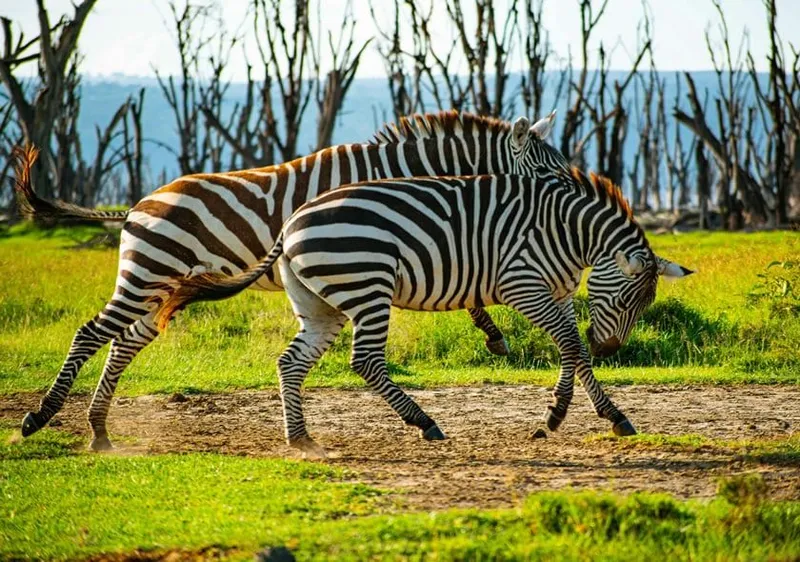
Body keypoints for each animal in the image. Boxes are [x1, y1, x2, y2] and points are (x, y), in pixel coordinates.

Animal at [15, 109, 568, 451]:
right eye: (554, 176)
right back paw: (41, 417)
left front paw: (492, 333)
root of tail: (137, 204)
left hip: (162, 287)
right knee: (92, 334)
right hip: (148, 274)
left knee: (123, 342)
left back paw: (99, 430)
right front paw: (493, 333)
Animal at [151, 170, 693, 457]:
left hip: (319, 303)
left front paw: (567, 416)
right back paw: (425, 422)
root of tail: (290, 223)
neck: (566, 232)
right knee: (366, 361)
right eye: (625, 302)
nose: (613, 348)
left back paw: (301, 438)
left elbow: (571, 349)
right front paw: (592, 415)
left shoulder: (555, 292)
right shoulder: (521, 286)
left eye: (642, 306)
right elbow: (572, 345)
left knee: (292, 362)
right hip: (367, 285)